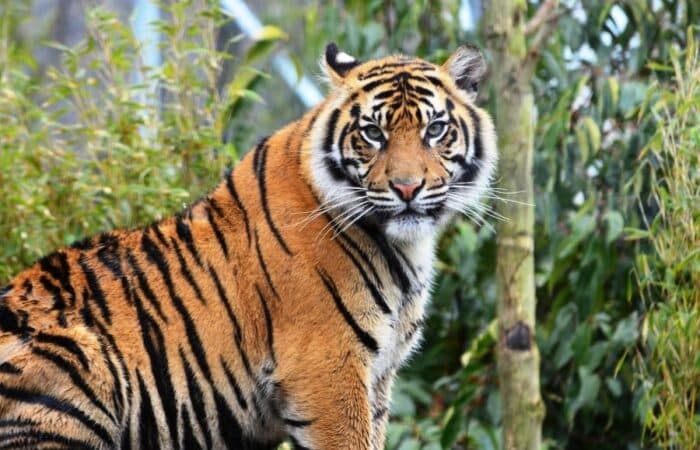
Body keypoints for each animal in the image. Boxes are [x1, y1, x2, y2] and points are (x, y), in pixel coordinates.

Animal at [0, 43, 497, 449]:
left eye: (436, 129)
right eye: (373, 133)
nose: (407, 188)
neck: (402, 247)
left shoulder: (377, 379)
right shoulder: (328, 373)